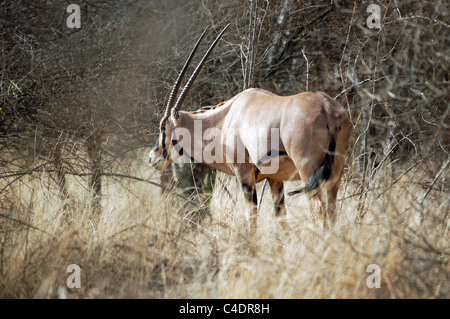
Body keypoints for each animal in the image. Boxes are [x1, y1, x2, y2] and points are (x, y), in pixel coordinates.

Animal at [149, 26, 350, 236]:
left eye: (163, 127)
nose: (152, 157)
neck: (225, 118)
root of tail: (326, 107)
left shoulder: (244, 174)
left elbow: (251, 218)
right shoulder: (274, 179)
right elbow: (281, 217)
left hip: (307, 171)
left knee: (320, 210)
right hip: (334, 175)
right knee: (332, 210)